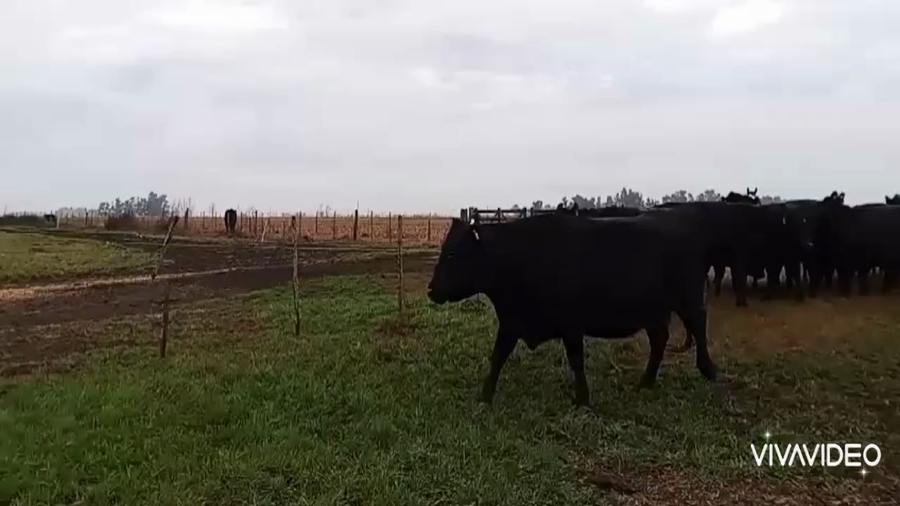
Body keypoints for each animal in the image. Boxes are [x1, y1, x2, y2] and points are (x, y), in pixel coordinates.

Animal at [426, 214, 717, 406]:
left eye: (452, 254)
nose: (431, 290)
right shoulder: (512, 321)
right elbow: (497, 356)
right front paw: (485, 396)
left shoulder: (571, 325)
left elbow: (577, 361)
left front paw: (582, 399)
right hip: (654, 312)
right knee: (660, 340)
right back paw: (645, 382)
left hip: (687, 299)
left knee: (699, 324)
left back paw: (708, 370)